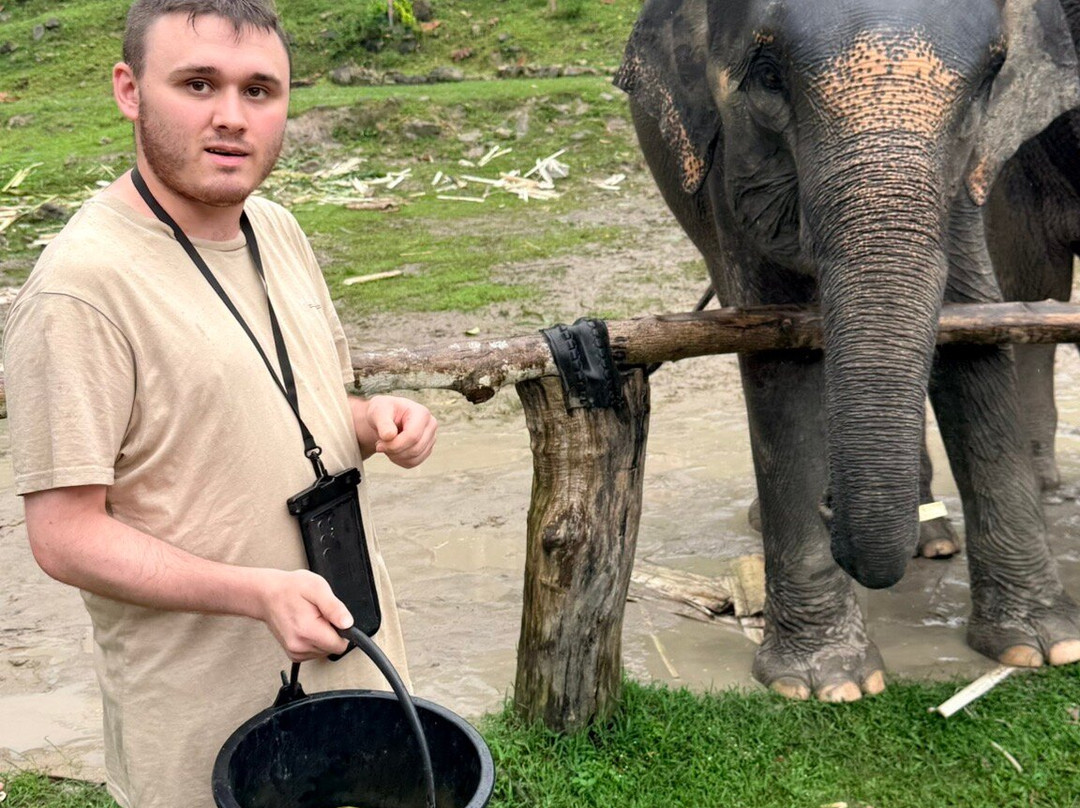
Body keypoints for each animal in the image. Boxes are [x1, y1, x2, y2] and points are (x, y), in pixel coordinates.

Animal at [615, 0, 1080, 700]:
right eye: (768, 76)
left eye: (987, 82)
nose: (832, 509)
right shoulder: (729, 171)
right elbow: (781, 363)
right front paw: (826, 684)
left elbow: (973, 330)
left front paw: (1042, 648)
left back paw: (928, 540)